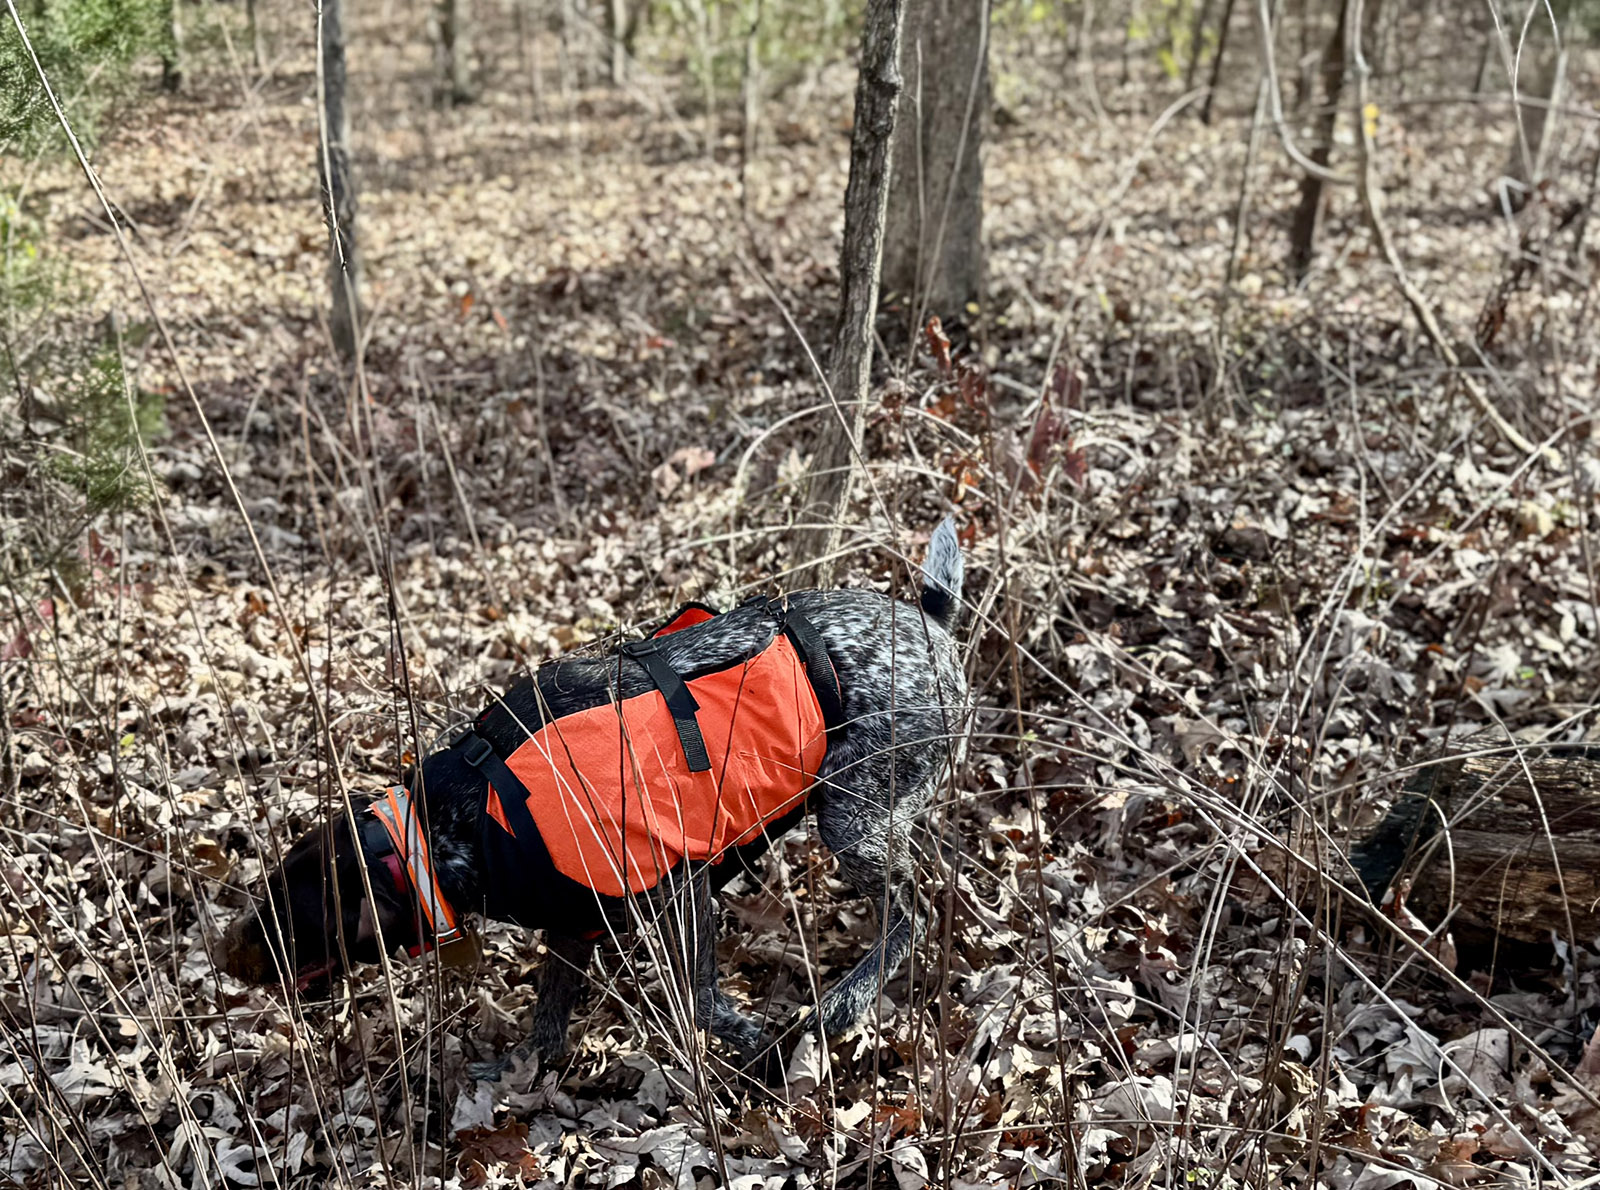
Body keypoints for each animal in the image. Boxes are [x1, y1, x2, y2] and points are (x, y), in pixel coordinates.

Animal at [219, 521, 966, 1081]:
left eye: (294, 912)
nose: (225, 956)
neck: (459, 821)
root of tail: (931, 628)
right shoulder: (574, 920)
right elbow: (547, 1022)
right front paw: (518, 1068)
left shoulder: (679, 884)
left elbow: (701, 1001)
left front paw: (765, 1048)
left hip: (848, 811)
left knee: (913, 914)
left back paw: (840, 1004)